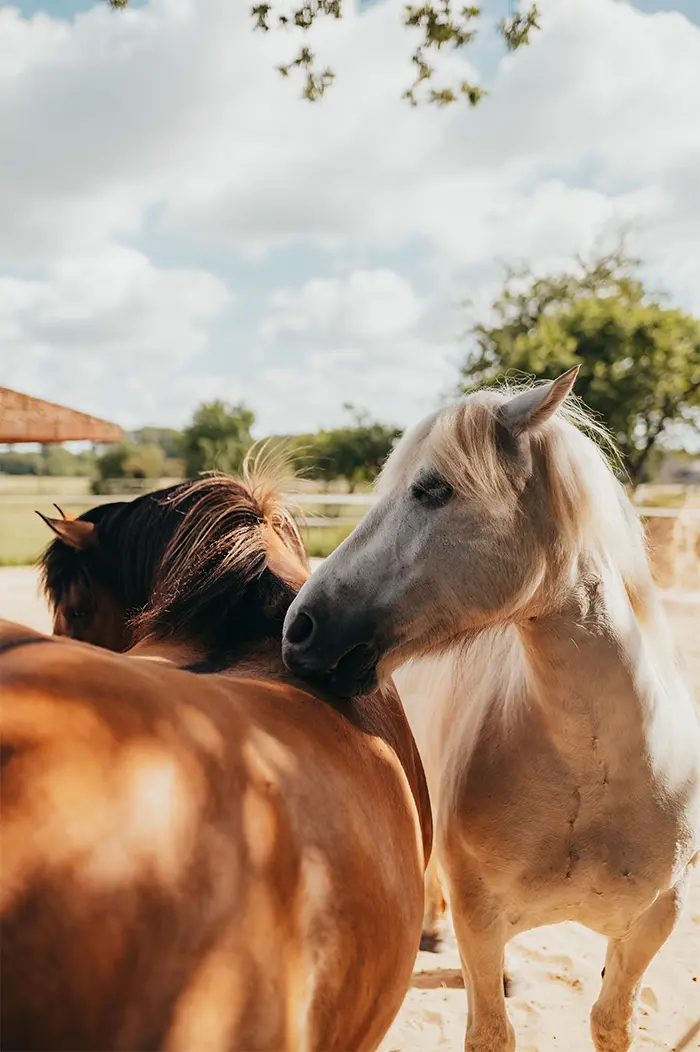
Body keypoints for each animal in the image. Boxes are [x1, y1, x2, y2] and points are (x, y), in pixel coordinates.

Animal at [282, 368, 700, 1052]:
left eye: (433, 489)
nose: (299, 628)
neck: (599, 774)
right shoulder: (480, 916)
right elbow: (491, 1033)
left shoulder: (653, 923)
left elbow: (611, 1023)